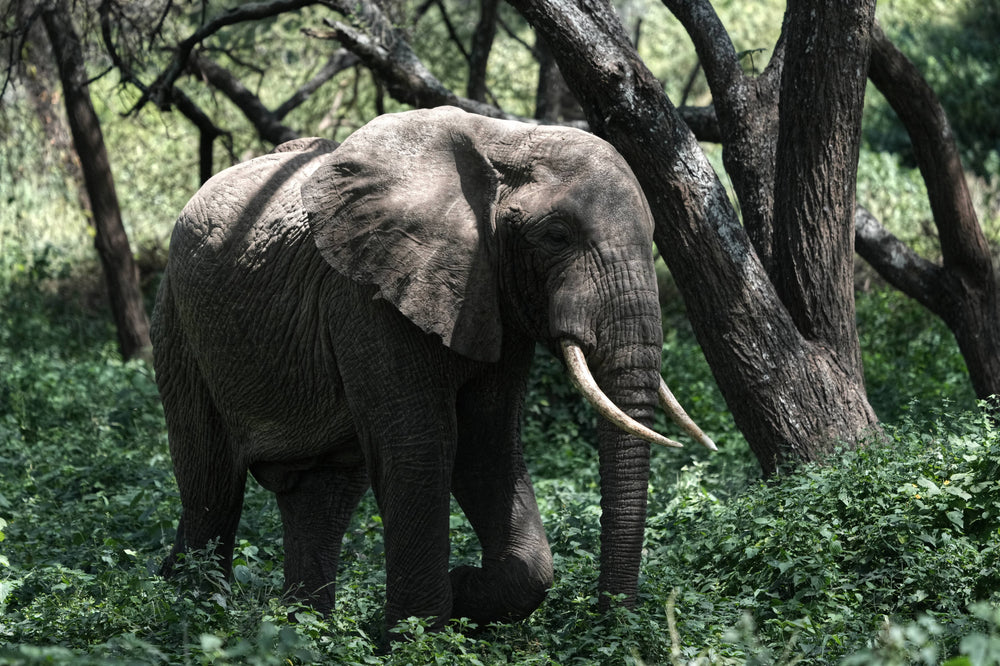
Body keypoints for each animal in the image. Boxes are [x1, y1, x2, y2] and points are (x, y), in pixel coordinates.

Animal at [152, 106, 715, 629]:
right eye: (556, 236)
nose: (611, 619)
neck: (506, 140)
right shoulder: (367, 294)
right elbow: (421, 448)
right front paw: (419, 632)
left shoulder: (492, 298)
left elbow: (486, 445)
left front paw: (462, 591)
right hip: (178, 317)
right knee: (211, 482)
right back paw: (193, 612)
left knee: (322, 494)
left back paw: (301, 629)